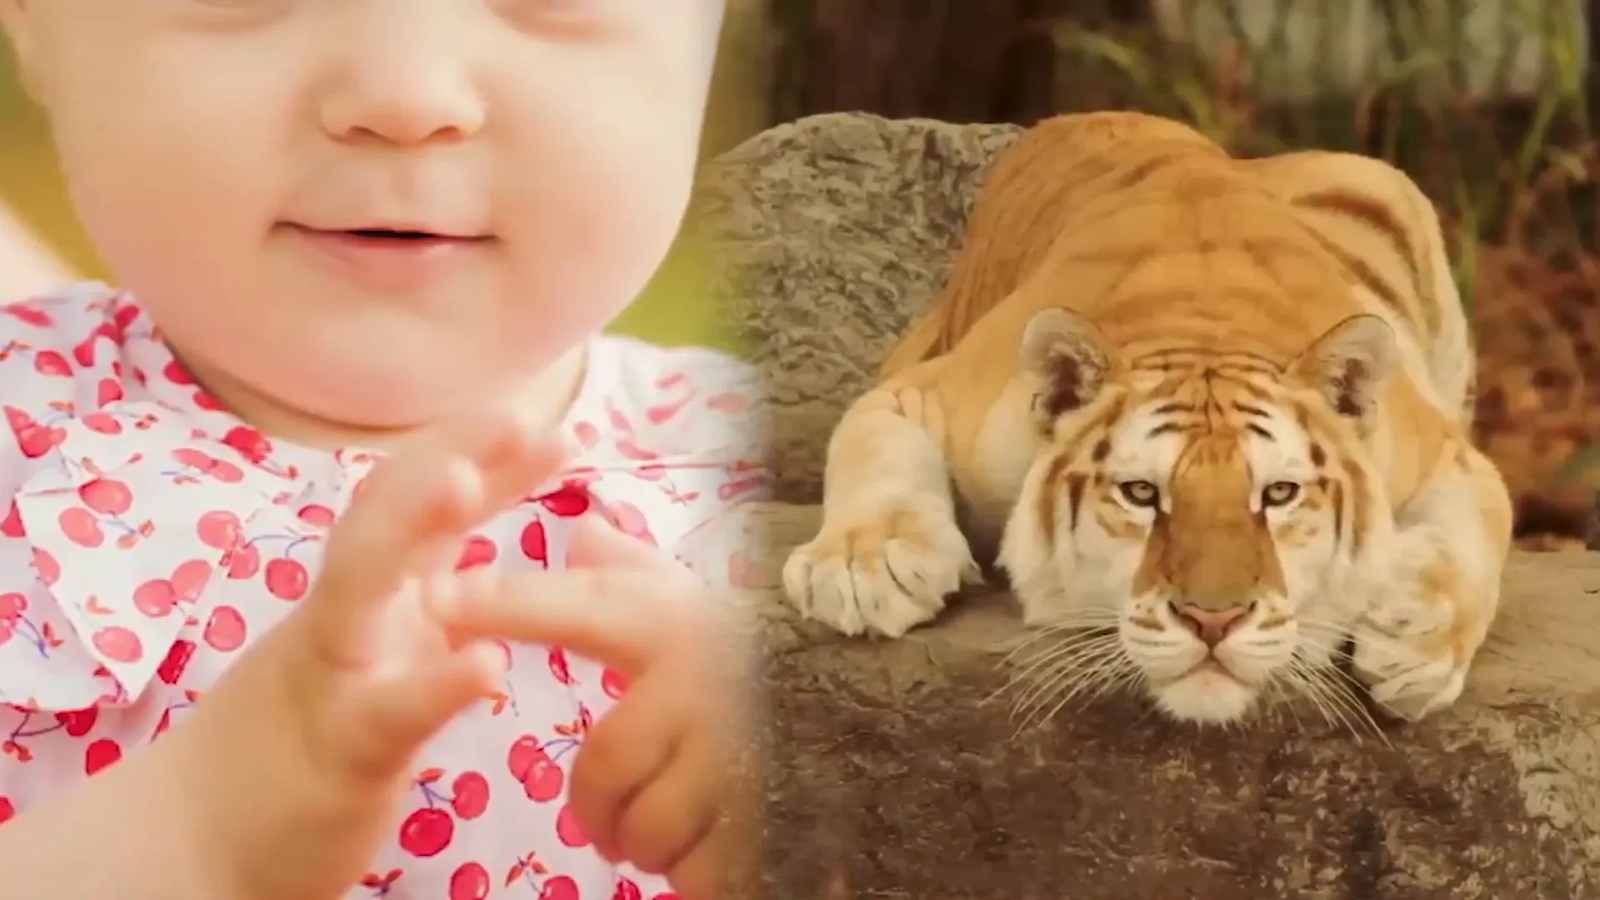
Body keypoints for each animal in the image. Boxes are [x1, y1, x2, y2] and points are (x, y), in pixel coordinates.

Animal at [780, 110, 1514, 726]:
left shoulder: (1442, 450)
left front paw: (1416, 644)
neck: (1204, 324)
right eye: (1140, 494)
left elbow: (1483, 527)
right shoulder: (924, 391)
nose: (1214, 621)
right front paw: (866, 569)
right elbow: (873, 446)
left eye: (1279, 494)